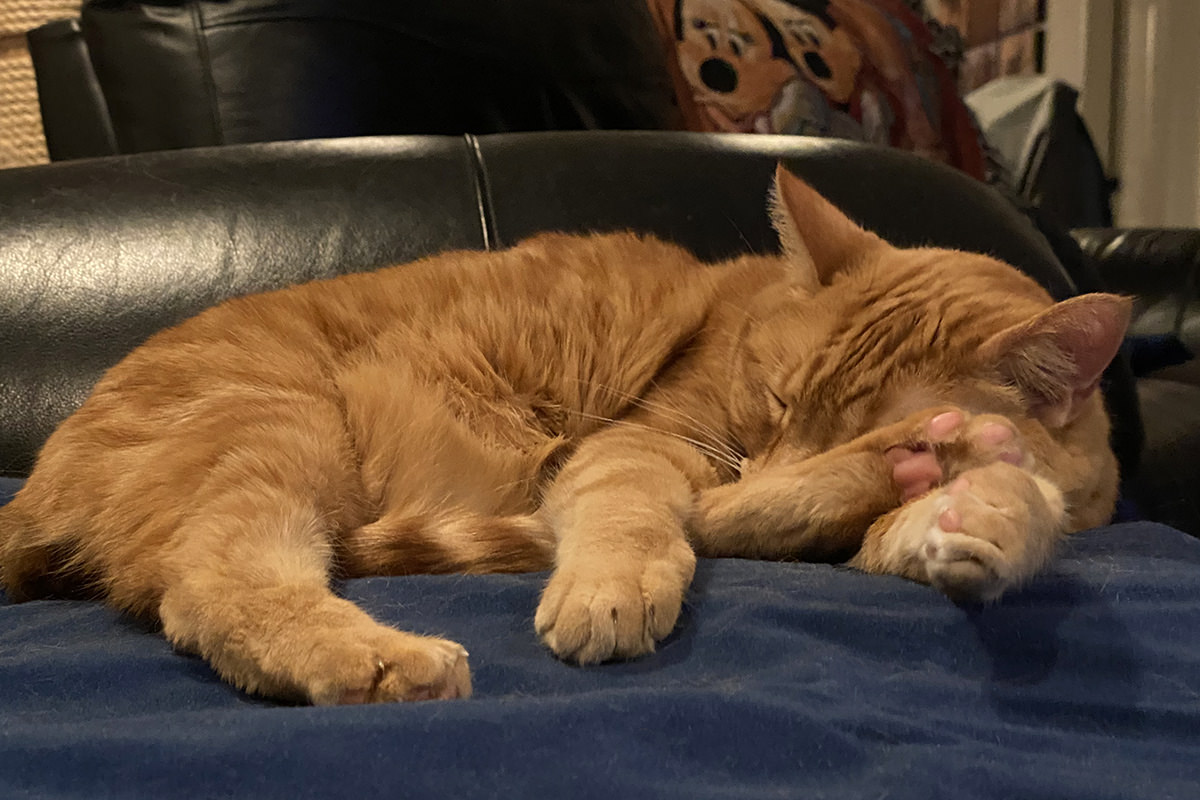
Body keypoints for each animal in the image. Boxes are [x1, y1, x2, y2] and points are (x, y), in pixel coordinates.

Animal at [0, 165, 1128, 705]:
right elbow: (659, 514)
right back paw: (386, 663)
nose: (782, 453)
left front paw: (985, 505)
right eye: (772, 399)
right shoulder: (647, 447)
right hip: (276, 428)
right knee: (208, 584)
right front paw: (613, 588)